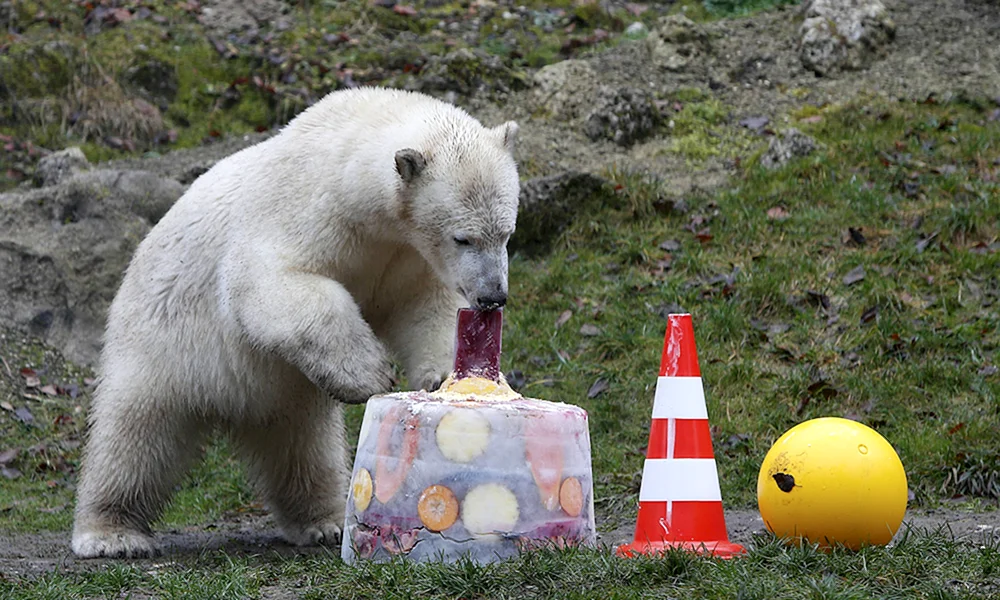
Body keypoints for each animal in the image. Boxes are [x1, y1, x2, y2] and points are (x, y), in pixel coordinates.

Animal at [71, 86, 524, 560]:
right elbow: (269, 284)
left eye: (507, 232)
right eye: (463, 237)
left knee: (304, 449)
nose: (493, 295)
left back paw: (323, 521)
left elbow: (426, 305)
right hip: (158, 345)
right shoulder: (308, 214)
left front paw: (440, 377)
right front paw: (370, 374)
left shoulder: (405, 256)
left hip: (285, 390)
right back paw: (111, 532)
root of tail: (229, 405)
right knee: (135, 435)